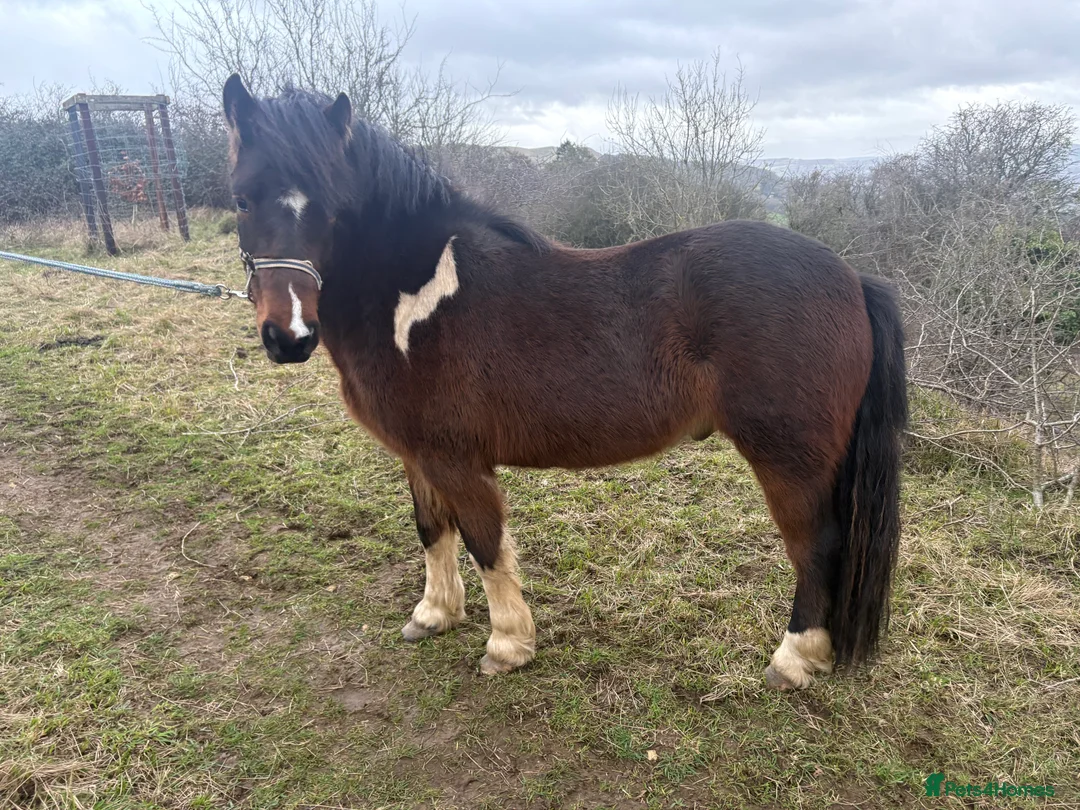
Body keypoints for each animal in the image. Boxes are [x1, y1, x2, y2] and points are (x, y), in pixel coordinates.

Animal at [220, 73, 908, 690]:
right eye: (243, 199)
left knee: (816, 548)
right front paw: (434, 615)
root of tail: (851, 279)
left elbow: (485, 542)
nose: (289, 335)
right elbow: (432, 531)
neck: (413, 297)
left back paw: (794, 661)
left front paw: (507, 645)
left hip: (789, 459)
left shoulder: (456, 458)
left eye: (330, 205)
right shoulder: (418, 454)